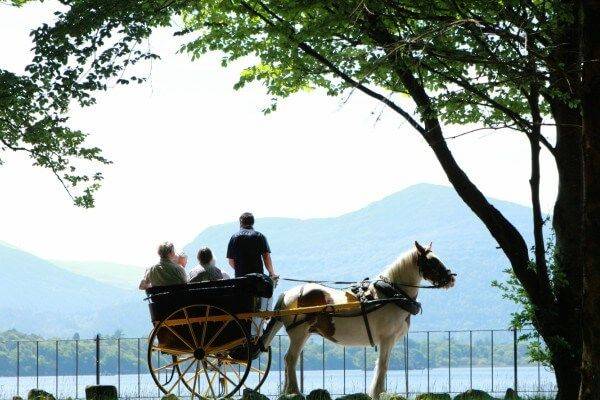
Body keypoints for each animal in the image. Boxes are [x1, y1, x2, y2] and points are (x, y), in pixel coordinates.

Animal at [260, 241, 458, 400]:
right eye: (432, 261)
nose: (451, 278)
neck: (391, 295)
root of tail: (289, 293)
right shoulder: (387, 338)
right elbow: (383, 365)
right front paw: (378, 392)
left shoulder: (390, 341)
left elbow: (382, 365)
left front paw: (379, 391)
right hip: (299, 333)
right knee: (290, 359)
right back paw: (294, 391)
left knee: (289, 360)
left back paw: (288, 392)